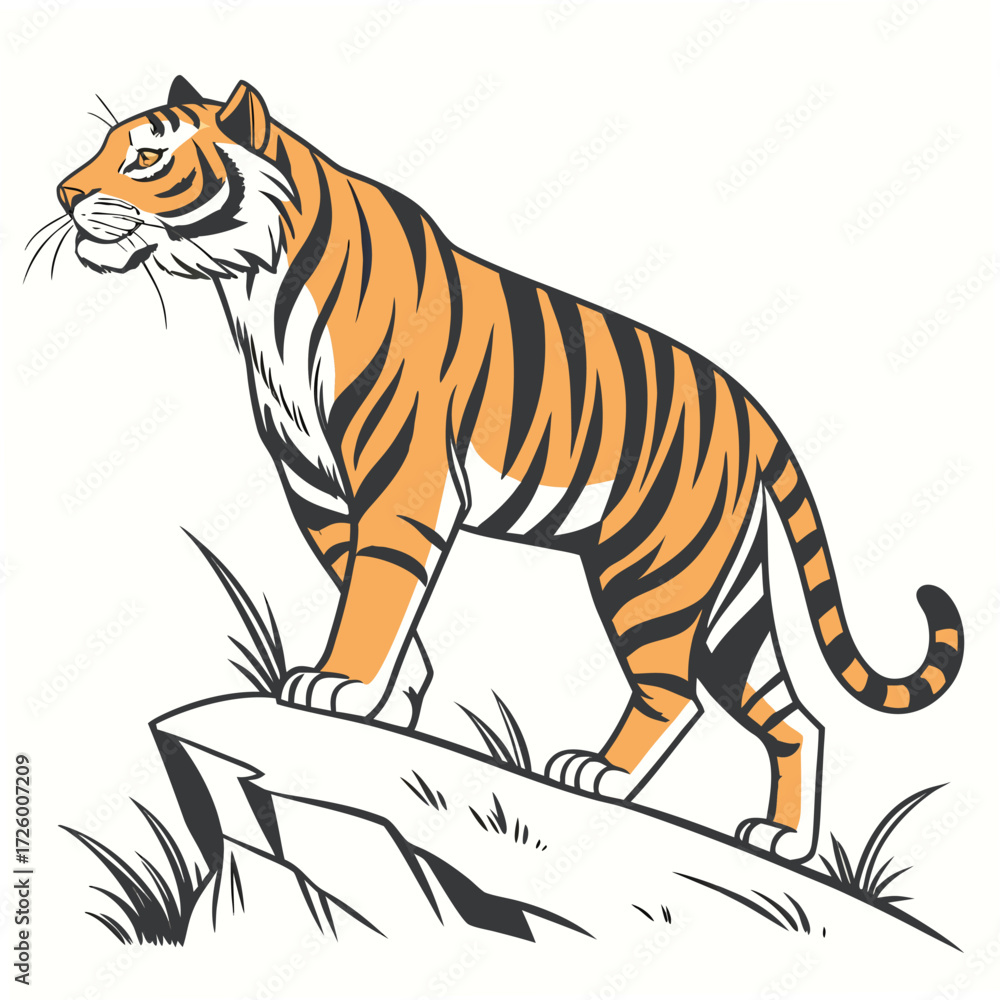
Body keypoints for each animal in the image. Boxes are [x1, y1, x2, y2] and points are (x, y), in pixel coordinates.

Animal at [49, 76, 963, 862]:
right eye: (105, 146)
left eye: (146, 157)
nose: (61, 193)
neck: (252, 288)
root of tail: (750, 407)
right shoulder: (317, 490)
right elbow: (367, 586)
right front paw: (393, 701)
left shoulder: (402, 479)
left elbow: (377, 590)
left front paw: (339, 685)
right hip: (727, 599)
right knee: (791, 713)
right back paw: (783, 841)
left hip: (650, 570)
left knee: (676, 693)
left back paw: (601, 773)